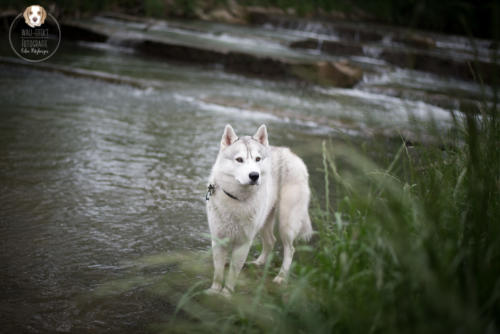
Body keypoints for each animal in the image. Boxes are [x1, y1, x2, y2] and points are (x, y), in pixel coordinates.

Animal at [205, 124, 310, 296]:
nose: (254, 175)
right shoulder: (218, 240)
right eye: (239, 159)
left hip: (286, 224)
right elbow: (218, 272)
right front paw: (214, 292)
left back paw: (281, 277)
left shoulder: (243, 243)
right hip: (264, 222)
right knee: (271, 241)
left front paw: (226, 295)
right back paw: (258, 263)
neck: (237, 198)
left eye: (257, 159)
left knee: (290, 249)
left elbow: (233, 273)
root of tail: (290, 153)